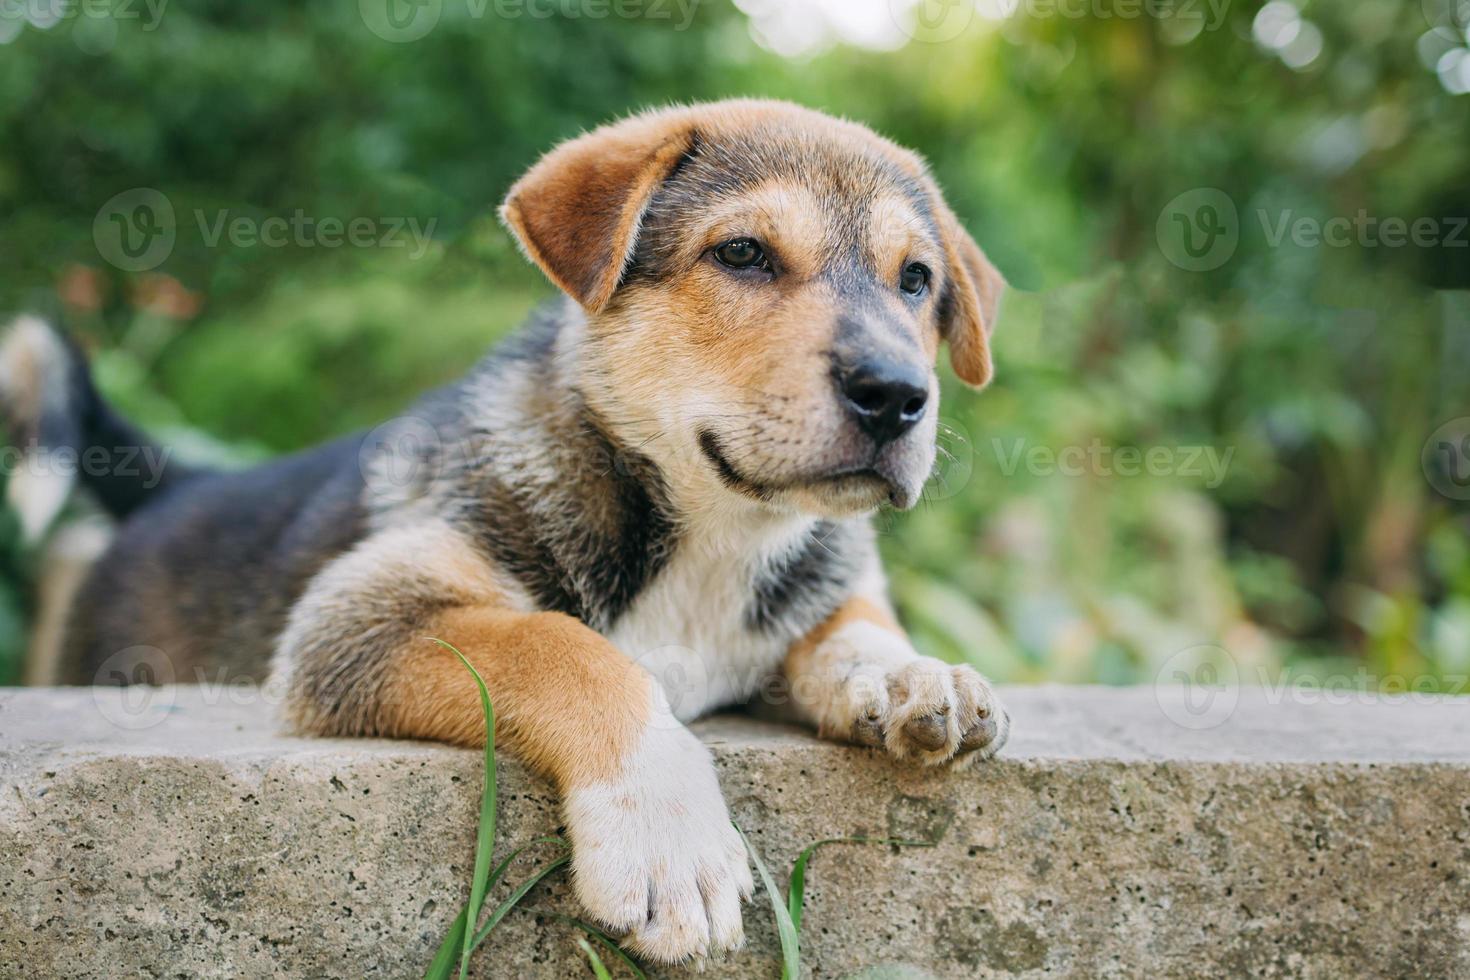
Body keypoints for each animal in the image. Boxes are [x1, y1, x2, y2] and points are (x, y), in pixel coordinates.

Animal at [0, 101, 1011, 963]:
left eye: (916, 280)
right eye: (743, 253)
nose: (898, 397)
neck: (716, 532)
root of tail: (185, 480)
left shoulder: (823, 585)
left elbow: (854, 623)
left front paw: (913, 675)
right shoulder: (357, 618)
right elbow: (565, 649)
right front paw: (666, 836)